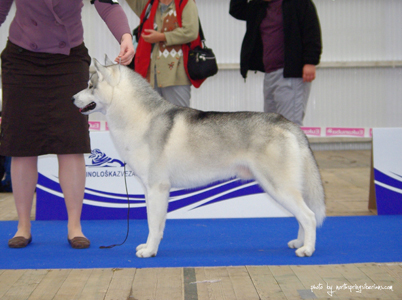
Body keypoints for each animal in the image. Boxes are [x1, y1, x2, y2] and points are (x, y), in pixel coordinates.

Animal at [72, 58, 326, 258]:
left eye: (90, 86)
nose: (72, 98)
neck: (141, 119)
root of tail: (289, 123)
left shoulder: (157, 188)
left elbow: (152, 224)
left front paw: (149, 251)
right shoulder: (152, 191)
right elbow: (157, 225)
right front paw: (150, 247)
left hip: (278, 187)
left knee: (309, 216)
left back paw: (307, 249)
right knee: (302, 217)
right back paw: (300, 242)